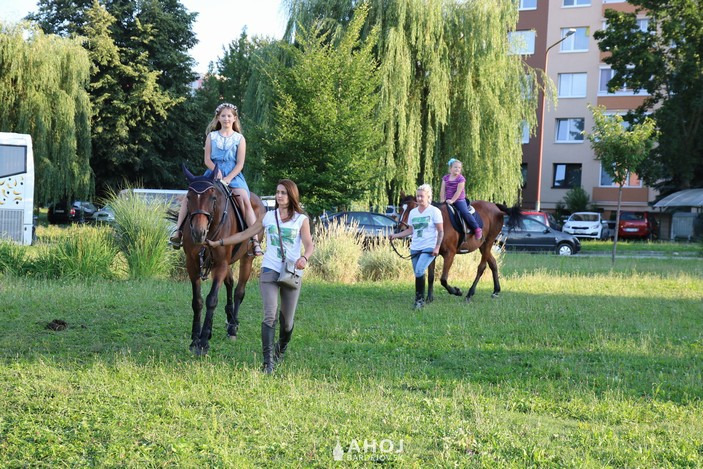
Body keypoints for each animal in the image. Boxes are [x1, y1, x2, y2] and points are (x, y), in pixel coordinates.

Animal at [181, 165, 265, 356]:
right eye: (188, 197)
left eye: (212, 198)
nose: (198, 232)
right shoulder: (192, 264)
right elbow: (197, 301)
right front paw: (195, 339)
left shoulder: (220, 264)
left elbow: (212, 299)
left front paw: (204, 342)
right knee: (229, 284)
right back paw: (229, 319)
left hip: (246, 259)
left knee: (239, 291)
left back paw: (232, 327)